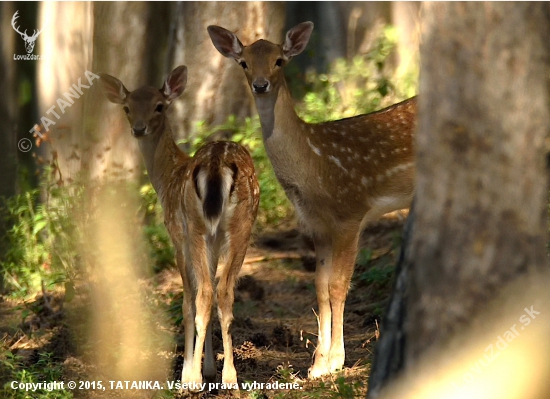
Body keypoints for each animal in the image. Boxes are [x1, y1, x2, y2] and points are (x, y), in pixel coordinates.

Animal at [98, 66, 260, 390]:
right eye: (127, 107)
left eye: (159, 106)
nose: (139, 128)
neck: (167, 177)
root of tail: (216, 165)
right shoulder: (212, 240)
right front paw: (208, 369)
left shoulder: (176, 234)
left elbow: (187, 303)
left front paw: (189, 371)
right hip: (239, 226)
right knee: (223, 290)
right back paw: (229, 377)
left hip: (195, 226)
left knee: (205, 293)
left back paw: (197, 380)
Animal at [209, 23, 416, 380]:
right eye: (244, 63)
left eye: (279, 60)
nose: (260, 85)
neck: (313, 168)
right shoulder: (316, 224)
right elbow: (319, 285)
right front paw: (317, 364)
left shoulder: (351, 212)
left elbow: (338, 285)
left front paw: (336, 360)